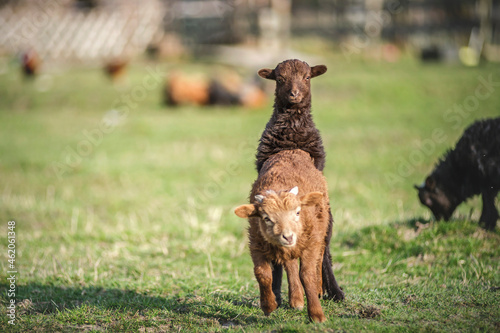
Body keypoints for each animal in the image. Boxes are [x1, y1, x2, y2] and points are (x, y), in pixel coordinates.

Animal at [234, 150, 332, 322]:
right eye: (266, 218)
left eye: (298, 212)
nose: (288, 236)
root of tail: (291, 150)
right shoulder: (256, 243)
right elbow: (262, 273)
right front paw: (268, 305)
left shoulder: (311, 242)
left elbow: (307, 274)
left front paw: (317, 315)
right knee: (290, 264)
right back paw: (296, 299)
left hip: (321, 228)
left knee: (319, 258)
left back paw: (318, 289)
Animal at [256, 58, 346, 302]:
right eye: (279, 78)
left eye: (307, 77)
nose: (294, 94)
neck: (292, 126)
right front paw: (277, 292)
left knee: (325, 248)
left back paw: (334, 291)